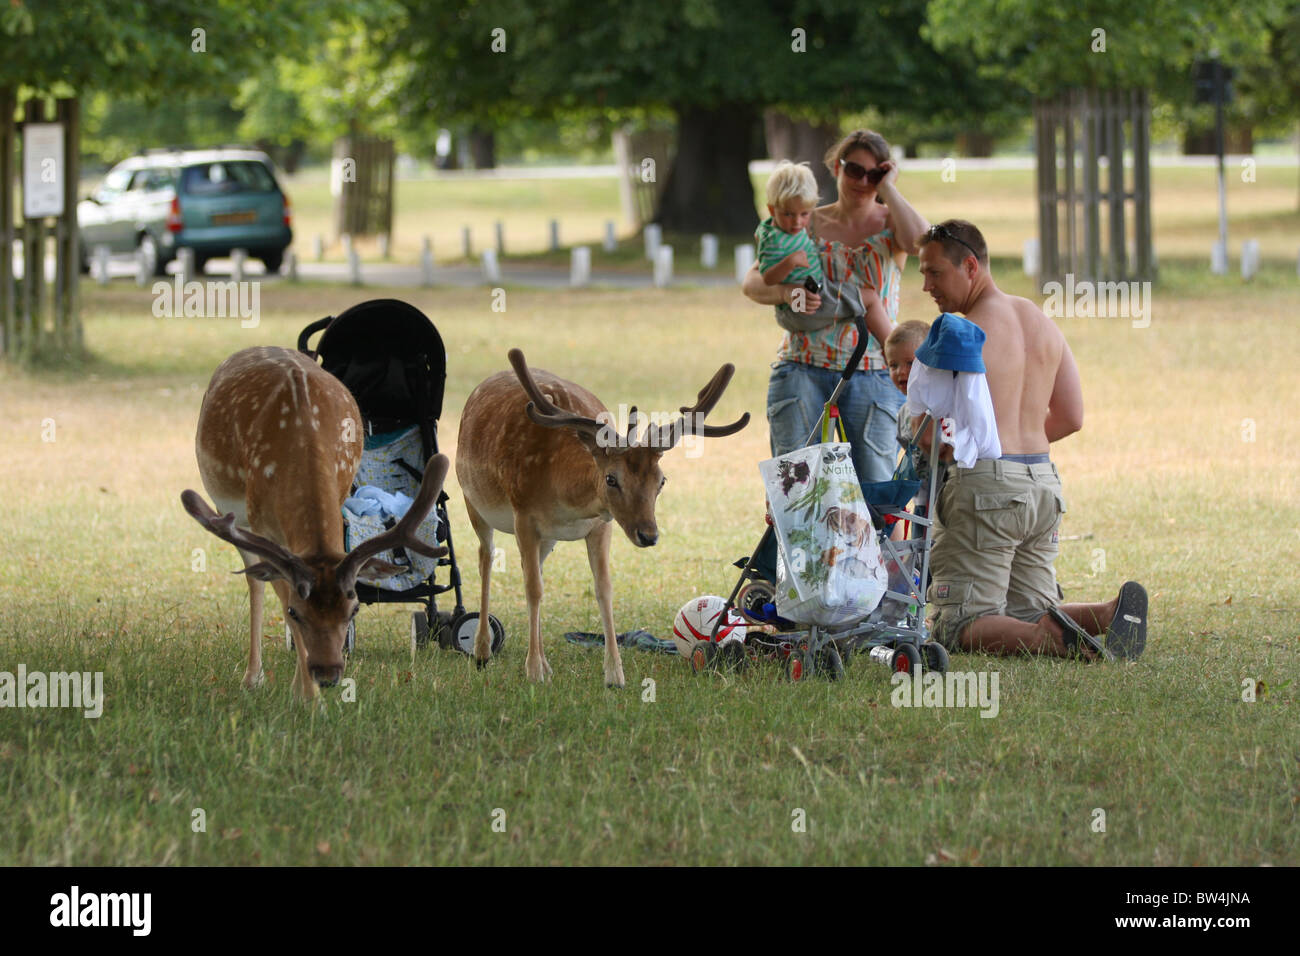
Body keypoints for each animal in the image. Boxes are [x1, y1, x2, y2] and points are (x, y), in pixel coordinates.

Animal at [180, 348, 449, 697]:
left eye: (354, 608)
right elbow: (280, 597)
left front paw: (304, 688)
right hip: (235, 514)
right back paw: (254, 676)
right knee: (254, 580)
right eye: (297, 612)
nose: (328, 673)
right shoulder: (264, 526)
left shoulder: (340, 491)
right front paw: (307, 695)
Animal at [457, 351, 754, 686]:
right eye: (611, 479)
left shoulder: (601, 525)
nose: (649, 535)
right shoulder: (523, 515)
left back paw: (543, 660)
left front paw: (614, 674)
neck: (565, 501)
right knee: (486, 558)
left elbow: (603, 589)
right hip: (472, 501)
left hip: (547, 539)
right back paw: (482, 650)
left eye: (662, 481)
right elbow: (533, 589)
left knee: (531, 569)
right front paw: (533, 671)